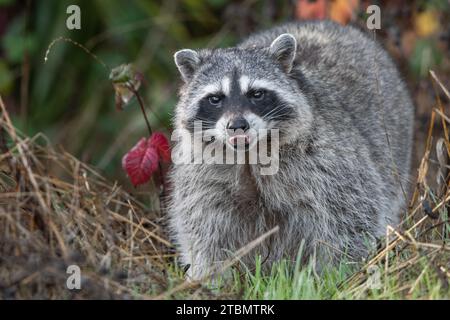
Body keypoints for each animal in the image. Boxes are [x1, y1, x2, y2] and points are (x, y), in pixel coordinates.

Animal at [168, 21, 414, 280]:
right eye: (215, 98)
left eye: (257, 94)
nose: (237, 125)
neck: (248, 154)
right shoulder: (202, 175)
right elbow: (205, 231)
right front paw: (209, 278)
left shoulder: (326, 163)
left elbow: (349, 219)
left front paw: (336, 275)